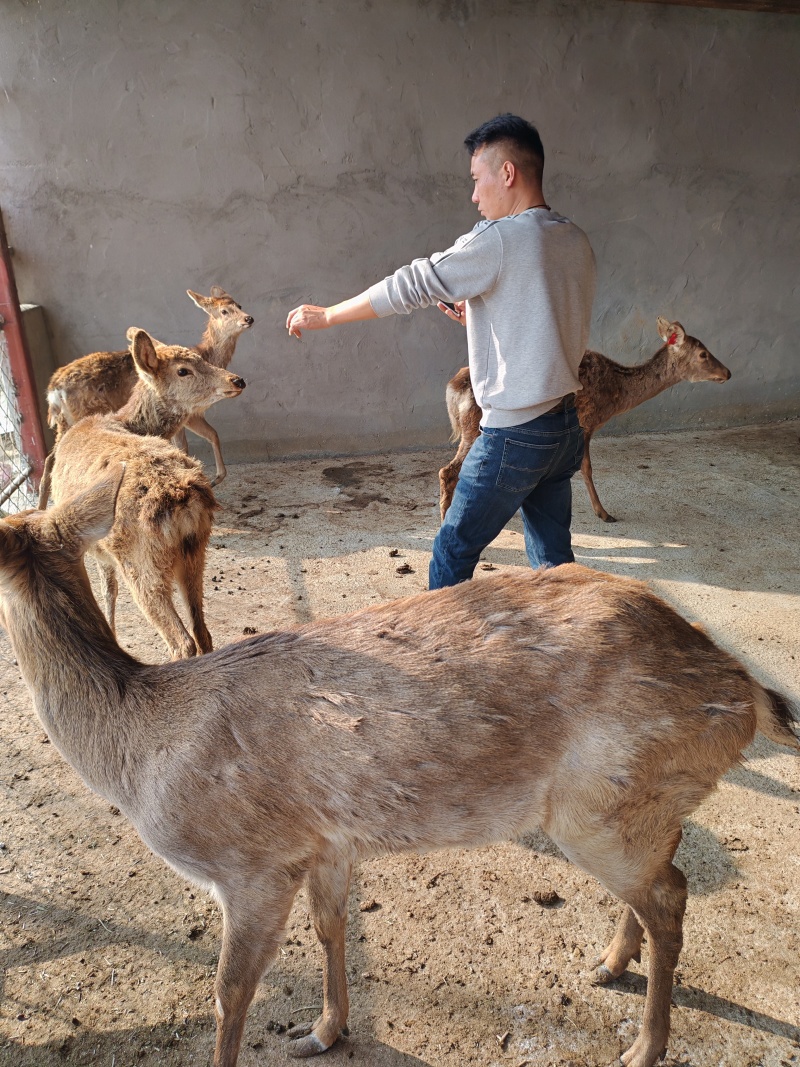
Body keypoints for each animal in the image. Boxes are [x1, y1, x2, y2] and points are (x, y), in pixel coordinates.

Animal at [1, 468, 796, 1067]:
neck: (140, 752)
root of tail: (746, 692)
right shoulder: (322, 844)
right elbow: (331, 929)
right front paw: (323, 1032)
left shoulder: (250, 865)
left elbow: (229, 993)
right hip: (636, 804)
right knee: (666, 871)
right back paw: (608, 963)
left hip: (597, 806)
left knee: (671, 894)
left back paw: (644, 1046)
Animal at [44, 286, 254, 486]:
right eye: (224, 311)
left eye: (240, 305)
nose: (249, 318)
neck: (208, 356)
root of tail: (53, 391)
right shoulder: (191, 414)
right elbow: (204, 438)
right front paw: (214, 478)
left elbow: (207, 436)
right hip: (82, 413)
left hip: (65, 421)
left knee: (50, 458)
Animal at [47, 329, 245, 658]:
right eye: (183, 370)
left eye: (202, 359)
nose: (237, 380)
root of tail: (183, 501)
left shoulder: (94, 548)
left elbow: (107, 590)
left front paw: (113, 636)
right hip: (196, 551)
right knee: (202, 631)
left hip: (141, 562)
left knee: (182, 640)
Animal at [439, 317, 731, 523]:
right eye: (703, 354)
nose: (728, 372)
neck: (617, 394)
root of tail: (452, 389)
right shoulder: (587, 420)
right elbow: (587, 468)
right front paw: (604, 513)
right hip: (474, 426)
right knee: (449, 470)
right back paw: (445, 520)